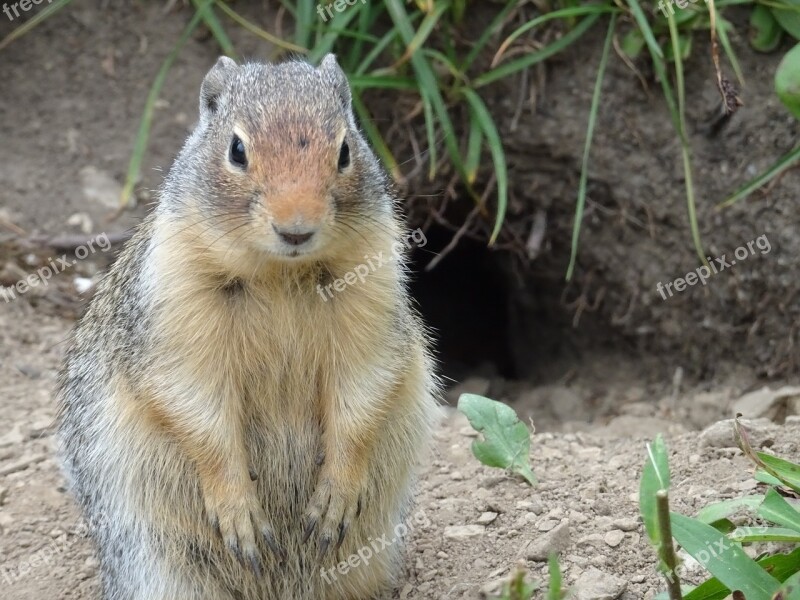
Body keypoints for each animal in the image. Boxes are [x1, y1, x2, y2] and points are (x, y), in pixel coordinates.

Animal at [56, 56, 440, 600]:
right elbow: (201, 414)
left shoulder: (372, 302)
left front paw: (334, 499)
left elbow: (361, 396)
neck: (279, 272)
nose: (296, 228)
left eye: (345, 150)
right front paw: (240, 515)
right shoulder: (176, 317)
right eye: (237, 150)